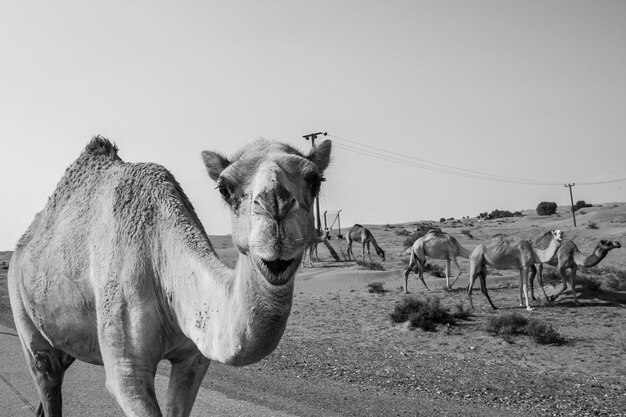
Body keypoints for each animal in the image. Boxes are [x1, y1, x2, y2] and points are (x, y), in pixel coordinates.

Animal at [8, 136, 332, 416]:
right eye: (224, 188)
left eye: (315, 179)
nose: (276, 208)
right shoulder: (127, 372)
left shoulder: (193, 360)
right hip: (23, 313)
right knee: (46, 373)